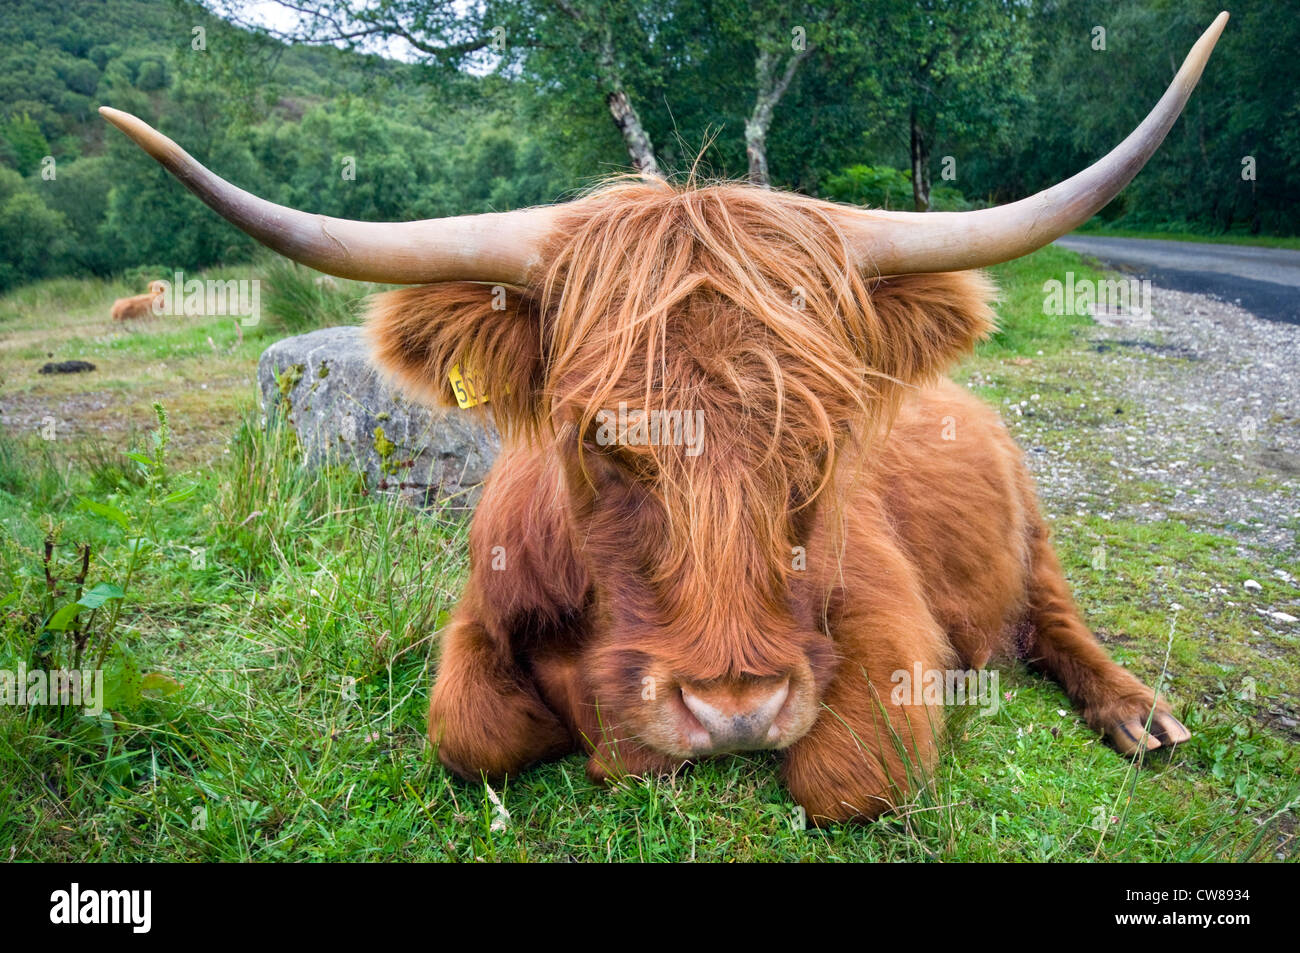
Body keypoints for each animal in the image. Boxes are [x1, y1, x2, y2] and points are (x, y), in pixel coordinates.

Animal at [99, 13, 1226, 824]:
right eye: (600, 438)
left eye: (820, 441)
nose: (735, 711)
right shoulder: (481, 614)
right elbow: (467, 730)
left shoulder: (892, 625)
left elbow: (848, 773)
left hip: (1032, 527)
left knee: (1054, 615)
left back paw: (1139, 714)